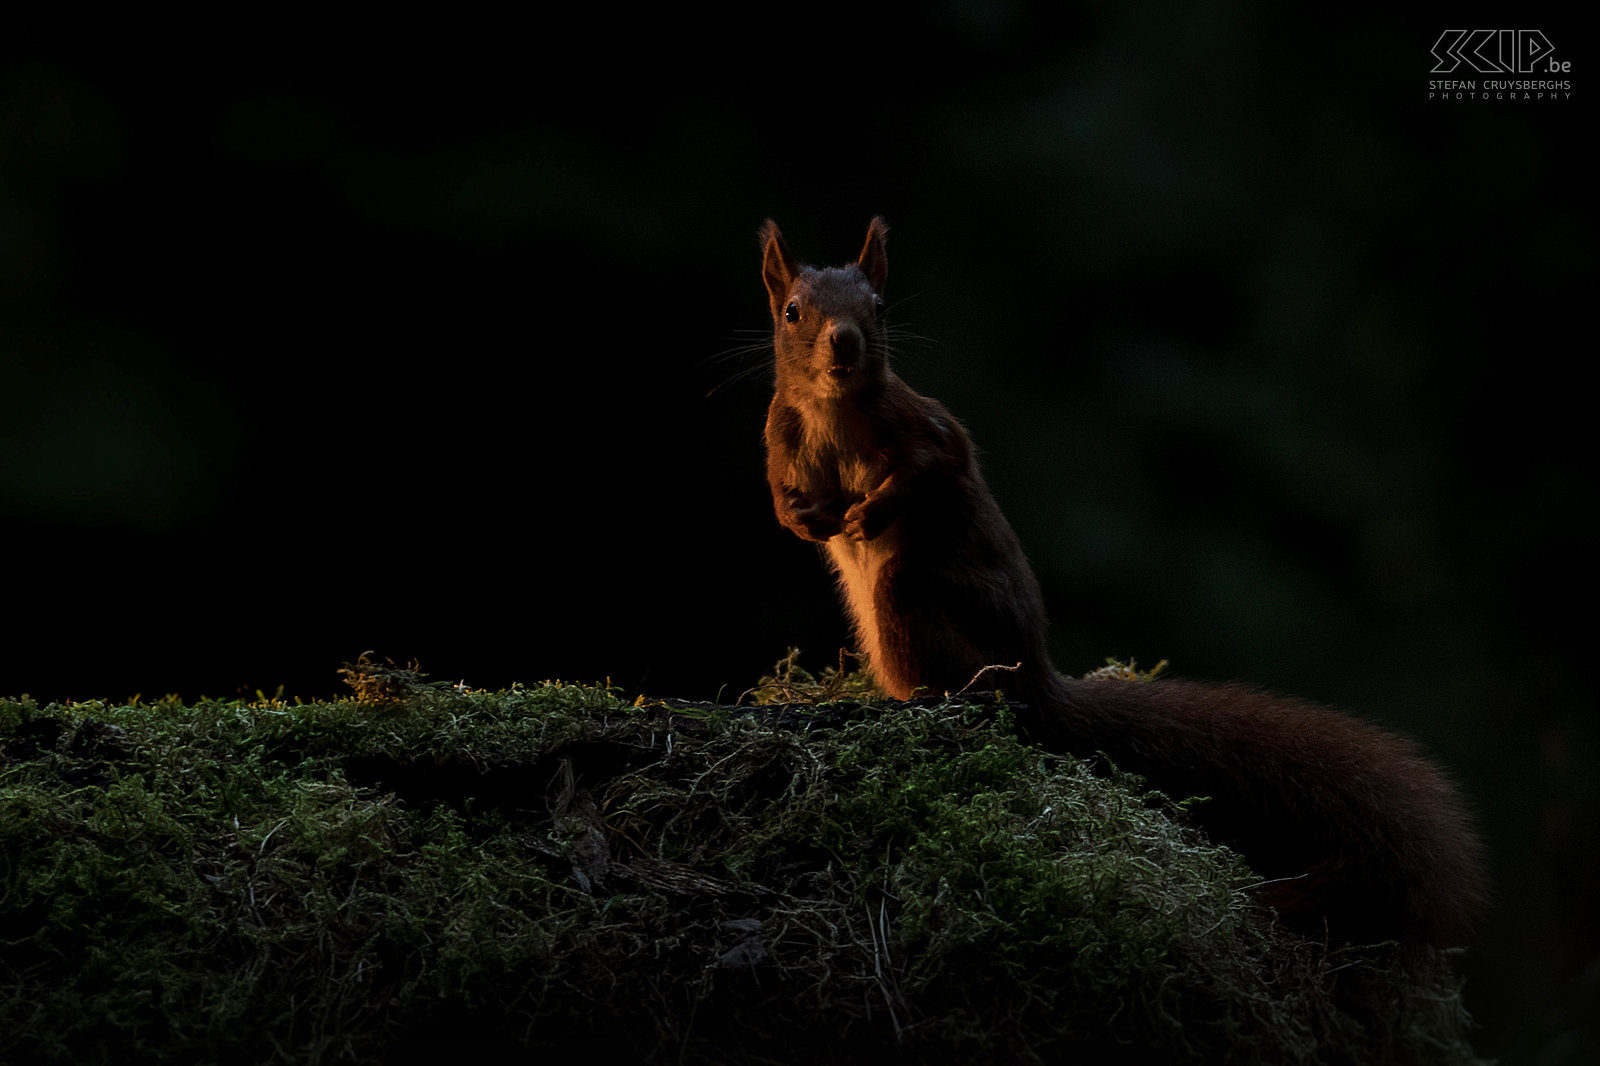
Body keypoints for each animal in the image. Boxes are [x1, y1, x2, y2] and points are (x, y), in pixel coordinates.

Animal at [761, 214, 1484, 941]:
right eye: (792, 311)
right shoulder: (780, 439)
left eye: (879, 309)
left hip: (922, 600)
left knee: (974, 686)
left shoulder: (923, 427)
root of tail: (1038, 675)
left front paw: (867, 513)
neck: (832, 410)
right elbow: (780, 494)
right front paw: (805, 521)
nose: (844, 341)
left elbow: (932, 466)